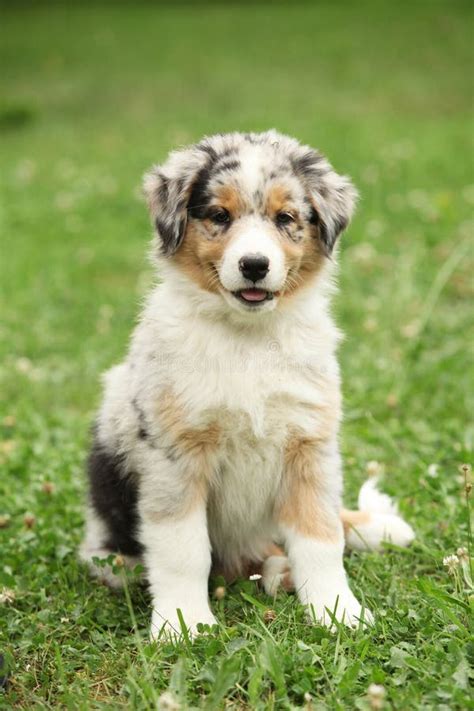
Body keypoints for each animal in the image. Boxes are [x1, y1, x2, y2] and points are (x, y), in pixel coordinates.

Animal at [81, 131, 414, 644]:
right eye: (220, 216)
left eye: (285, 219)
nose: (254, 265)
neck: (248, 338)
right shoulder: (175, 455)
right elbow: (183, 550)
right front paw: (183, 623)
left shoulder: (310, 443)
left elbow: (321, 537)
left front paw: (338, 611)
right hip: (110, 548)